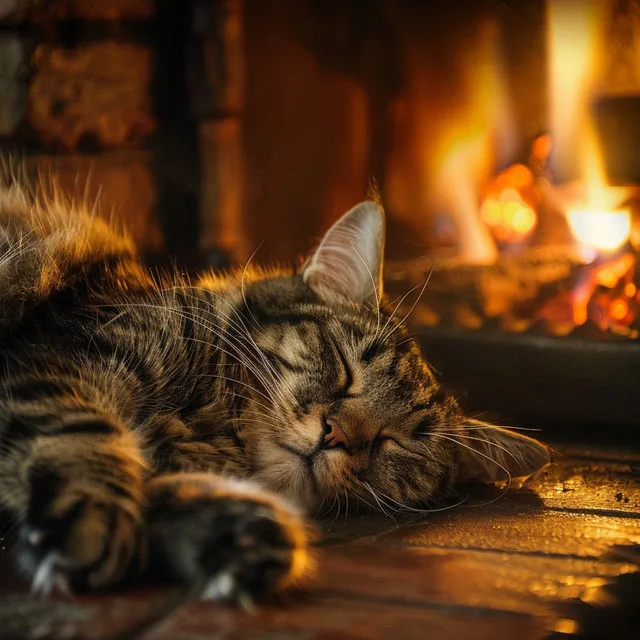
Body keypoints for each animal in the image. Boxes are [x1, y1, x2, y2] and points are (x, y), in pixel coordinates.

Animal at [0, 176, 552, 604]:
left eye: (398, 441)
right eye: (343, 367)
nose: (335, 435)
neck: (210, 430)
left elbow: (159, 489)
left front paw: (238, 533)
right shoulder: (64, 356)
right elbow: (83, 433)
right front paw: (95, 515)